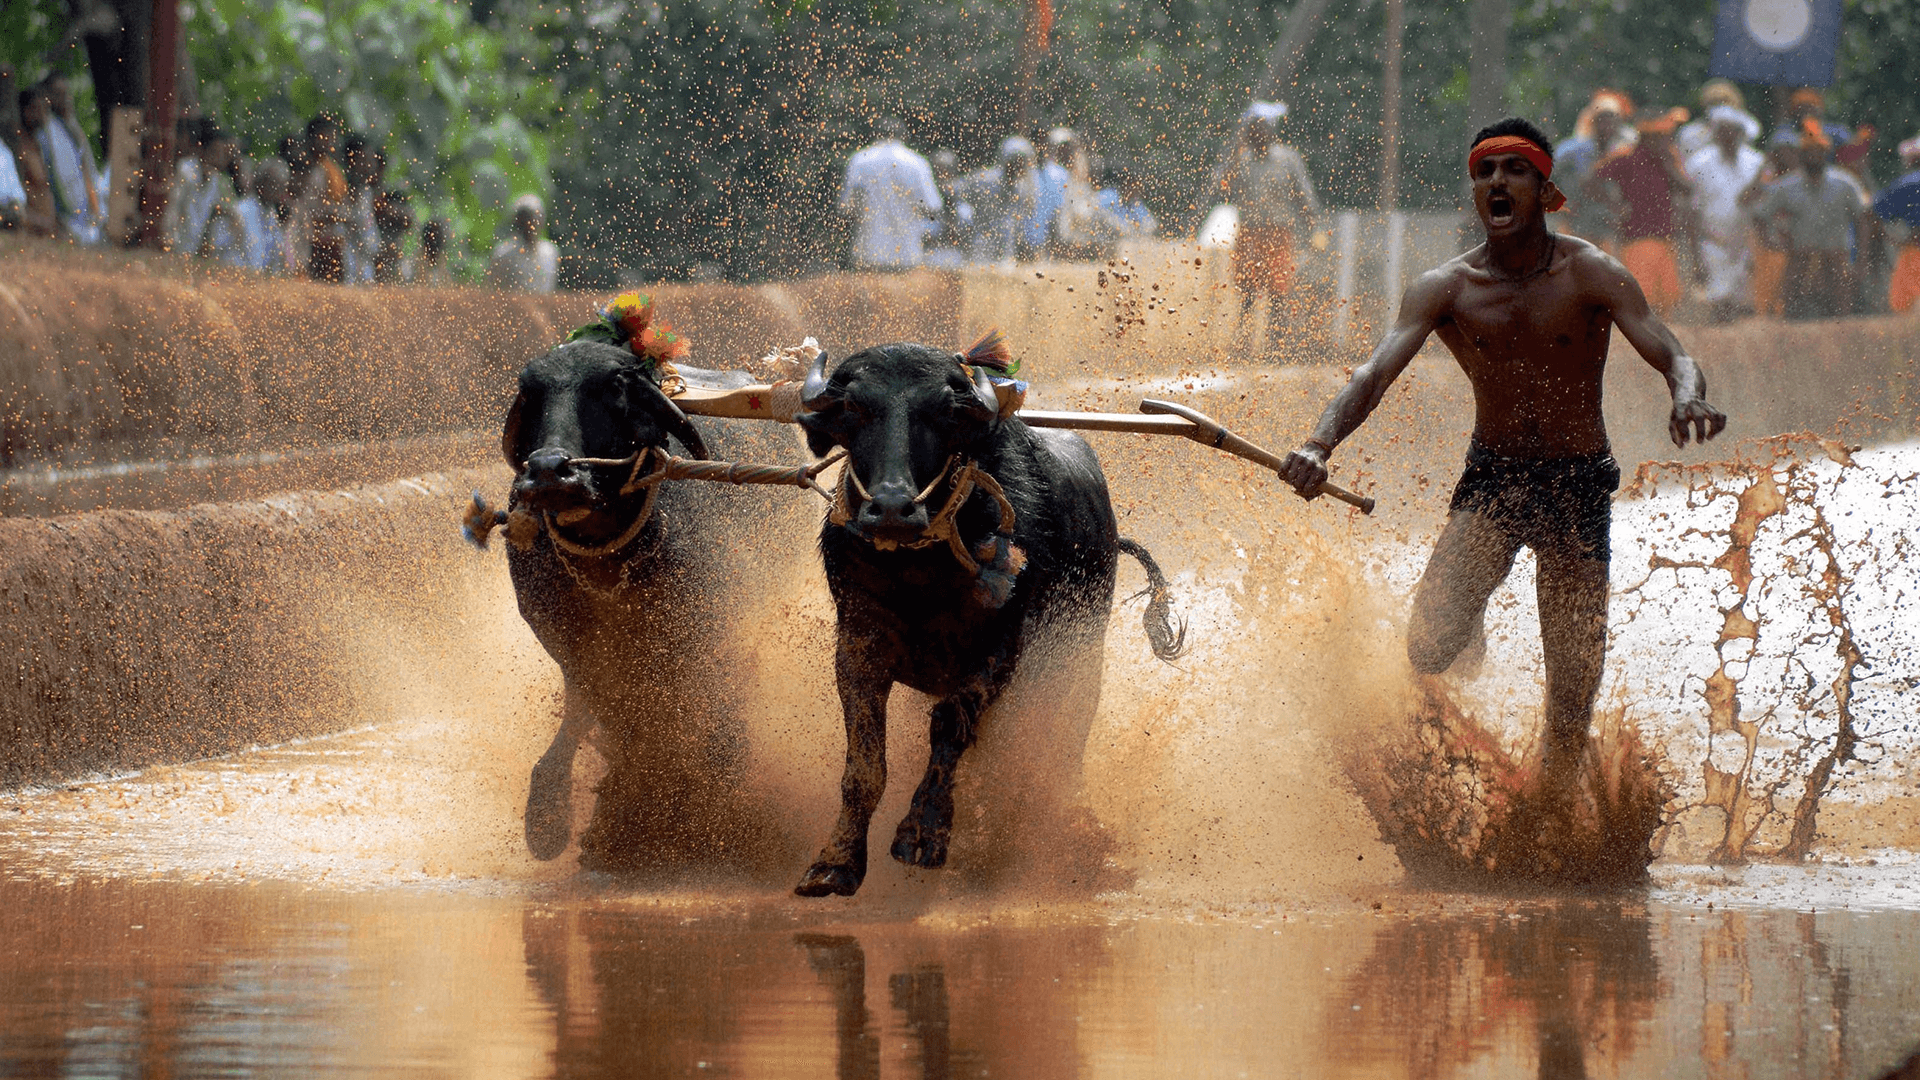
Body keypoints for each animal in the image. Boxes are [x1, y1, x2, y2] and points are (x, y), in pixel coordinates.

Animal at [499, 338, 791, 864]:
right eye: (529, 391)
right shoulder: (563, 638)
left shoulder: (698, 626)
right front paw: (577, 815)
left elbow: (697, 704)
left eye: (613, 385)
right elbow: (600, 708)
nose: (550, 473)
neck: (606, 555)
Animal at [787, 338, 1175, 891]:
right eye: (855, 408)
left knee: (1063, 743)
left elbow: (950, 723)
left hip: (1079, 655)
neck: (917, 575)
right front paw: (834, 862)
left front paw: (923, 832)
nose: (891, 508)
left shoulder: (1004, 646)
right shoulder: (857, 644)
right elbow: (863, 761)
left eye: (944, 411)